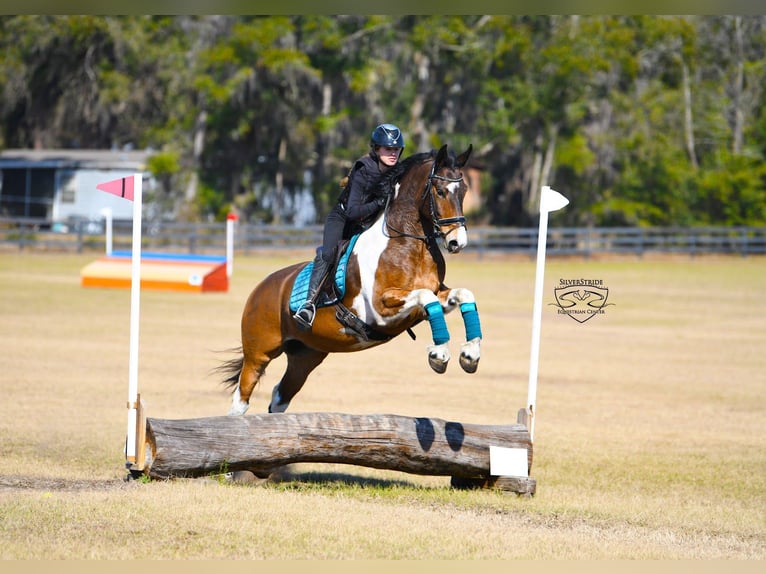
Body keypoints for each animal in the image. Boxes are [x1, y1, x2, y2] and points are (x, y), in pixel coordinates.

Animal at [218, 143, 483, 415]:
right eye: (440, 191)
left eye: (464, 191)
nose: (457, 242)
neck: (409, 244)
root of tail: (260, 289)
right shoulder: (380, 309)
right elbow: (426, 297)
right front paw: (439, 354)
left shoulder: (433, 296)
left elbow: (462, 294)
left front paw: (470, 354)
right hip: (259, 352)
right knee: (242, 397)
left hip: (307, 355)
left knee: (280, 395)